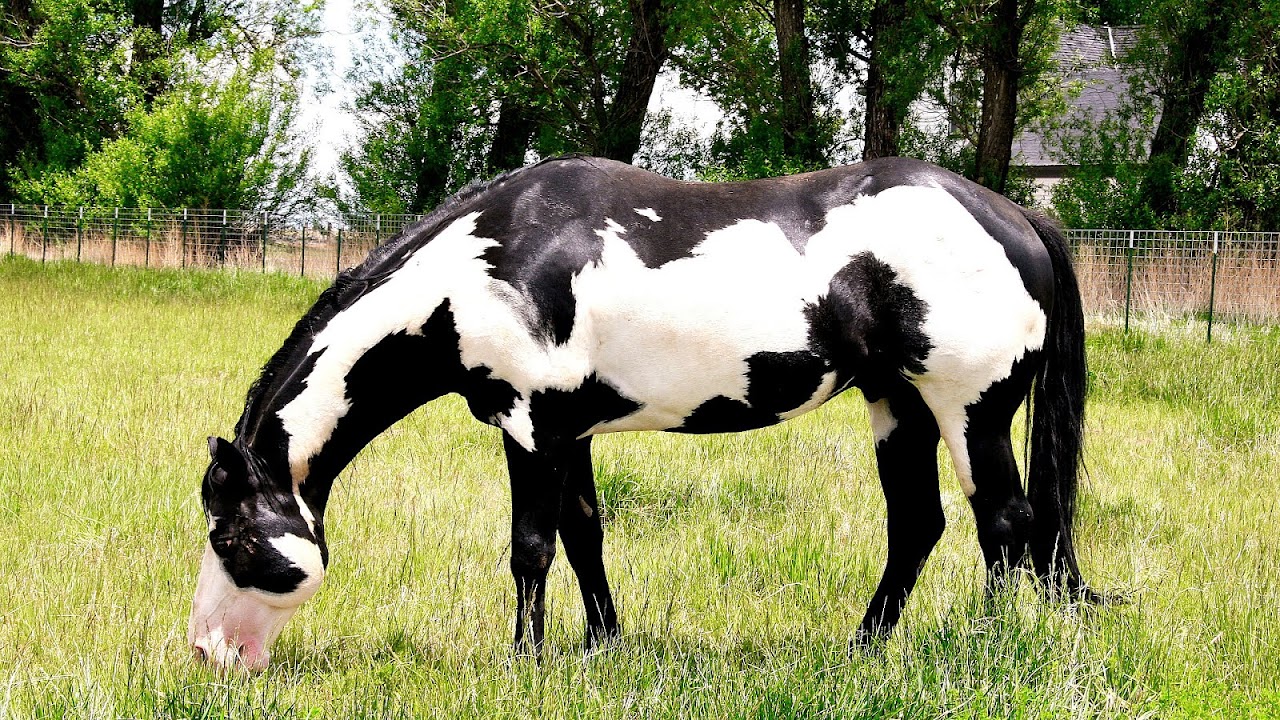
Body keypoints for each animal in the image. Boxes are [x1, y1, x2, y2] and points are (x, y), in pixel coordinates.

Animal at [189, 155, 1095, 670]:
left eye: (230, 541)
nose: (206, 652)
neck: (484, 265)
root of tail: (1017, 215)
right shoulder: (570, 429)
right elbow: (584, 535)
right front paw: (602, 644)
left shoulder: (529, 426)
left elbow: (530, 548)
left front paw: (526, 660)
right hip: (898, 403)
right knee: (919, 525)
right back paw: (865, 649)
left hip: (970, 410)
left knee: (1006, 523)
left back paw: (986, 646)